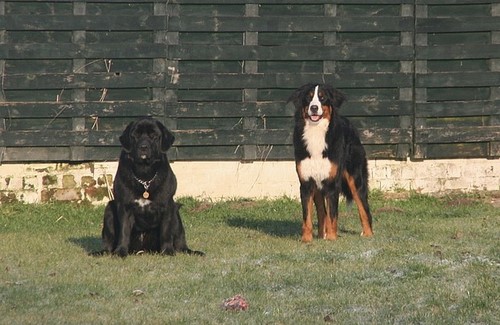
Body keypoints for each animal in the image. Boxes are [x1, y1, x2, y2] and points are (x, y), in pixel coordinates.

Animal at [99, 116, 203, 256]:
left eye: (154, 135)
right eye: (136, 135)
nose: (143, 146)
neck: (145, 177)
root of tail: (143, 249)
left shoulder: (167, 205)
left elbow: (166, 231)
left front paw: (167, 251)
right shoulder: (125, 206)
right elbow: (124, 231)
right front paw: (120, 252)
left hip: (176, 214)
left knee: (181, 244)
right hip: (109, 210)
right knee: (108, 241)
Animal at [288, 82, 374, 242]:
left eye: (322, 98)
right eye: (309, 98)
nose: (314, 108)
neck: (316, 133)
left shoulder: (332, 183)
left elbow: (333, 215)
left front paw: (332, 238)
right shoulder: (306, 184)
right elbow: (308, 217)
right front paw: (306, 239)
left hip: (355, 179)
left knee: (364, 208)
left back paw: (368, 234)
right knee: (322, 212)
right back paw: (322, 234)